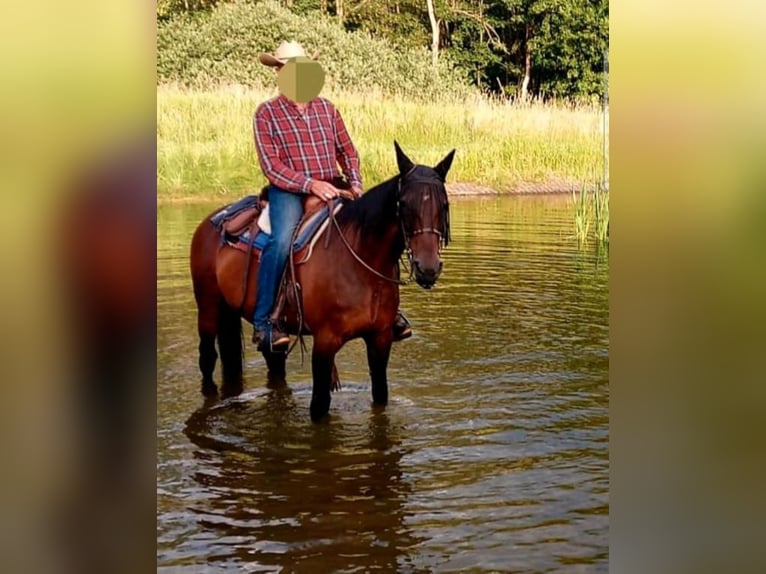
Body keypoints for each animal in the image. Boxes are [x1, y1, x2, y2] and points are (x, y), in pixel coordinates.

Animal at [192, 142, 456, 424]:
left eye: (444, 204)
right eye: (403, 203)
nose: (428, 268)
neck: (360, 259)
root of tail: (213, 218)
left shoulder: (380, 339)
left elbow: (380, 396)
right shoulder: (325, 343)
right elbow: (319, 405)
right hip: (208, 309)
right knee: (207, 358)